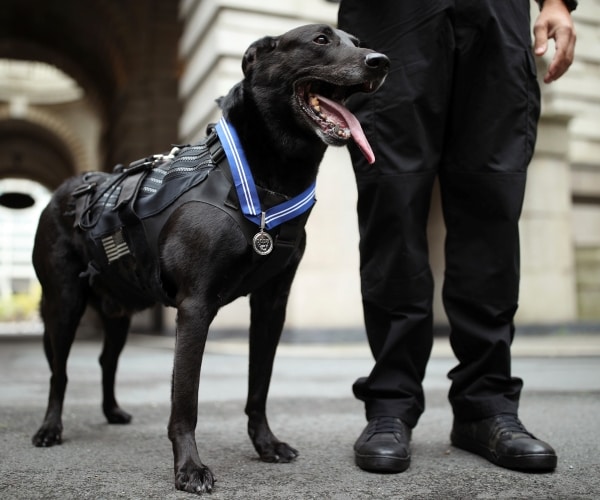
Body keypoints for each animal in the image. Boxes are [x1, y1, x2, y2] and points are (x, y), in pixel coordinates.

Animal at [31, 23, 390, 492]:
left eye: (357, 42)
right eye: (321, 40)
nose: (381, 61)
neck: (260, 179)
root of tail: (66, 189)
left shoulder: (271, 305)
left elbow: (259, 386)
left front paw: (266, 444)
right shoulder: (195, 306)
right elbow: (185, 400)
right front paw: (189, 468)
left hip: (119, 310)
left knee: (107, 360)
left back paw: (112, 412)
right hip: (64, 304)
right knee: (59, 372)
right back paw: (49, 429)